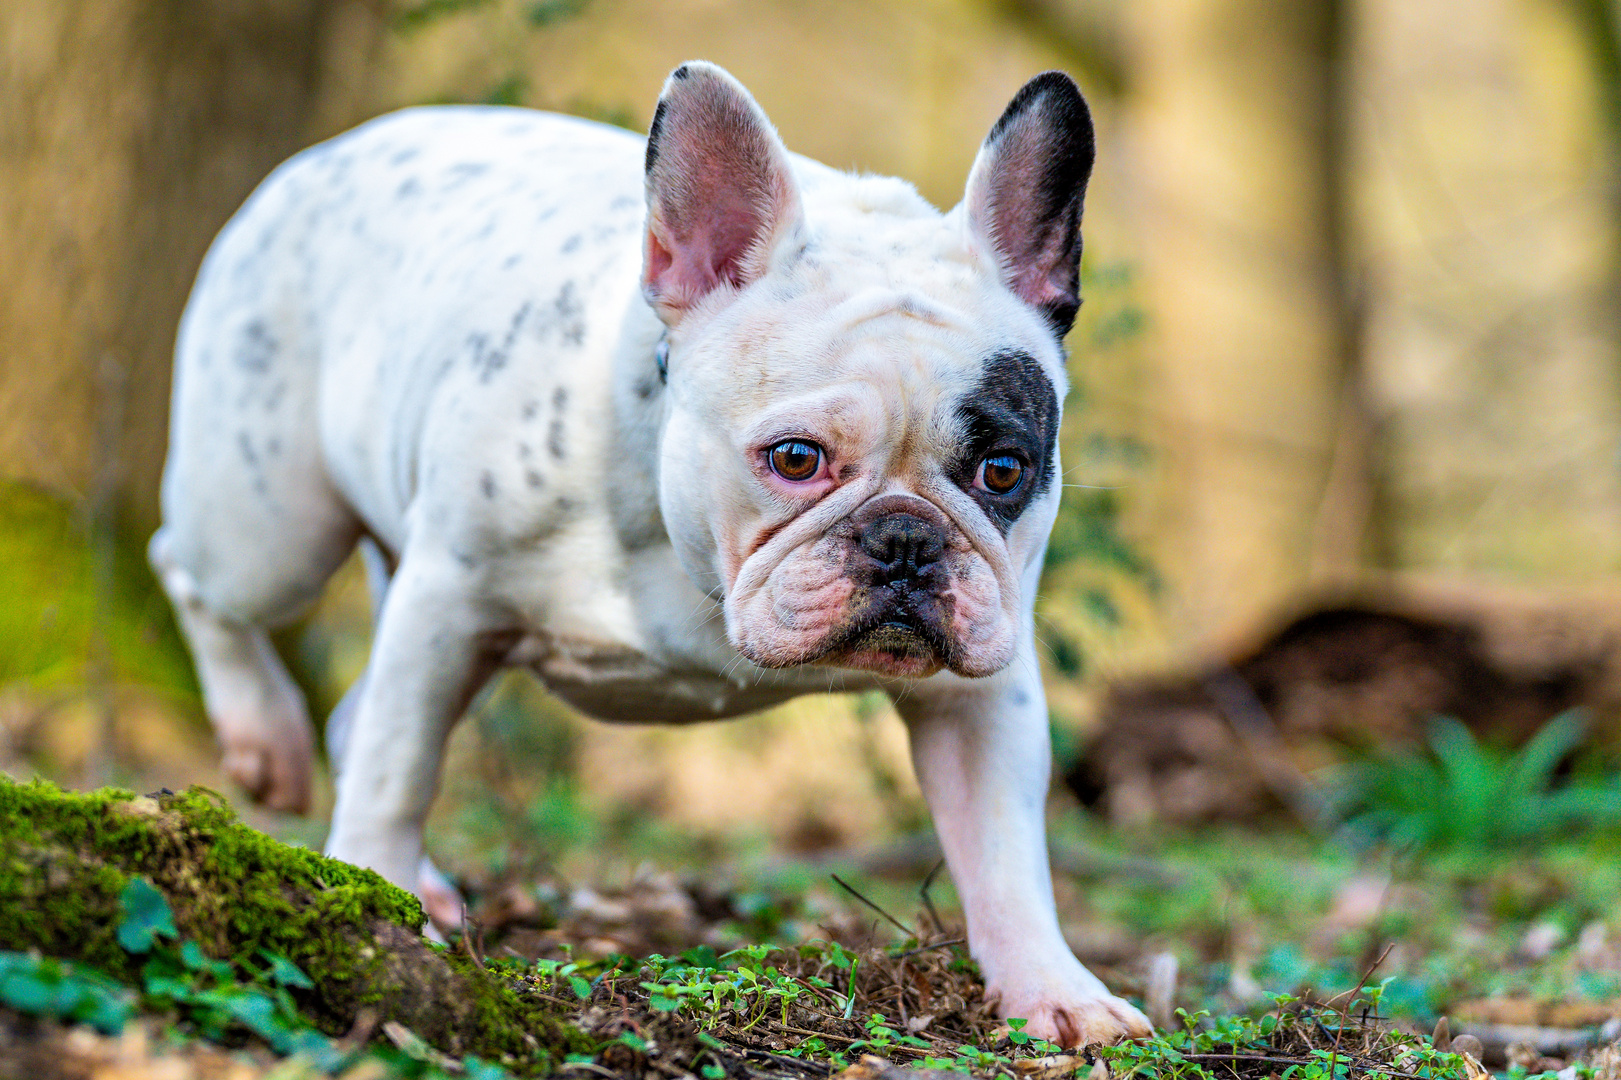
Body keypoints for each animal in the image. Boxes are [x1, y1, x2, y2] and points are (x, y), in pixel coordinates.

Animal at [145, 60, 1147, 1044]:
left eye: (1003, 470)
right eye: (795, 459)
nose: (904, 537)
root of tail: (332, 151)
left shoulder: (983, 691)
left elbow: (1004, 847)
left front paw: (1054, 989)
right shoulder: (447, 603)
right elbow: (400, 770)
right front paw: (367, 900)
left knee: (352, 711)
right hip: (270, 524)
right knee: (194, 577)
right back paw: (265, 740)